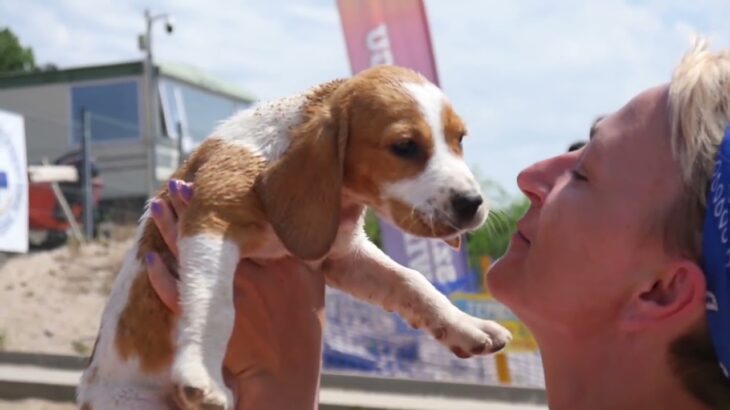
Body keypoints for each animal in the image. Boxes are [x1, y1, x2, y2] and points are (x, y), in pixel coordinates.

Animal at [77, 65, 510, 410]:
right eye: (404, 146)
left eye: (460, 140)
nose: (472, 204)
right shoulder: (210, 217)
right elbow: (216, 304)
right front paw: (200, 374)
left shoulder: (342, 254)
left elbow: (412, 281)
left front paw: (465, 325)